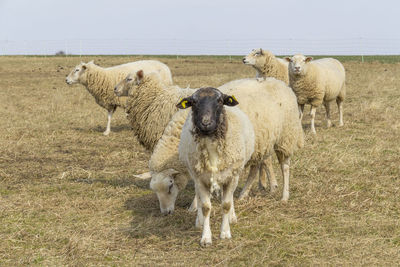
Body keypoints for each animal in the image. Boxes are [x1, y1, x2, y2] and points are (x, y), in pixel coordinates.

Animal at [150, 78, 304, 218]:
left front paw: (193, 206)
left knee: (285, 167)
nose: (166, 213)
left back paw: (284, 196)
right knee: (254, 169)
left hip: (286, 136)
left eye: (170, 186)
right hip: (258, 144)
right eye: (155, 191)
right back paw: (243, 195)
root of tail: (280, 82)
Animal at [177, 87, 255, 247]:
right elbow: (206, 207)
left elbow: (226, 204)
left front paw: (225, 232)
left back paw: (232, 217)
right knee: (199, 197)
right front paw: (206, 237)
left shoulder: (231, 177)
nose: (206, 122)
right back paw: (199, 221)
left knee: (230, 197)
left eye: (219, 101)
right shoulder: (200, 179)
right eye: (194, 102)